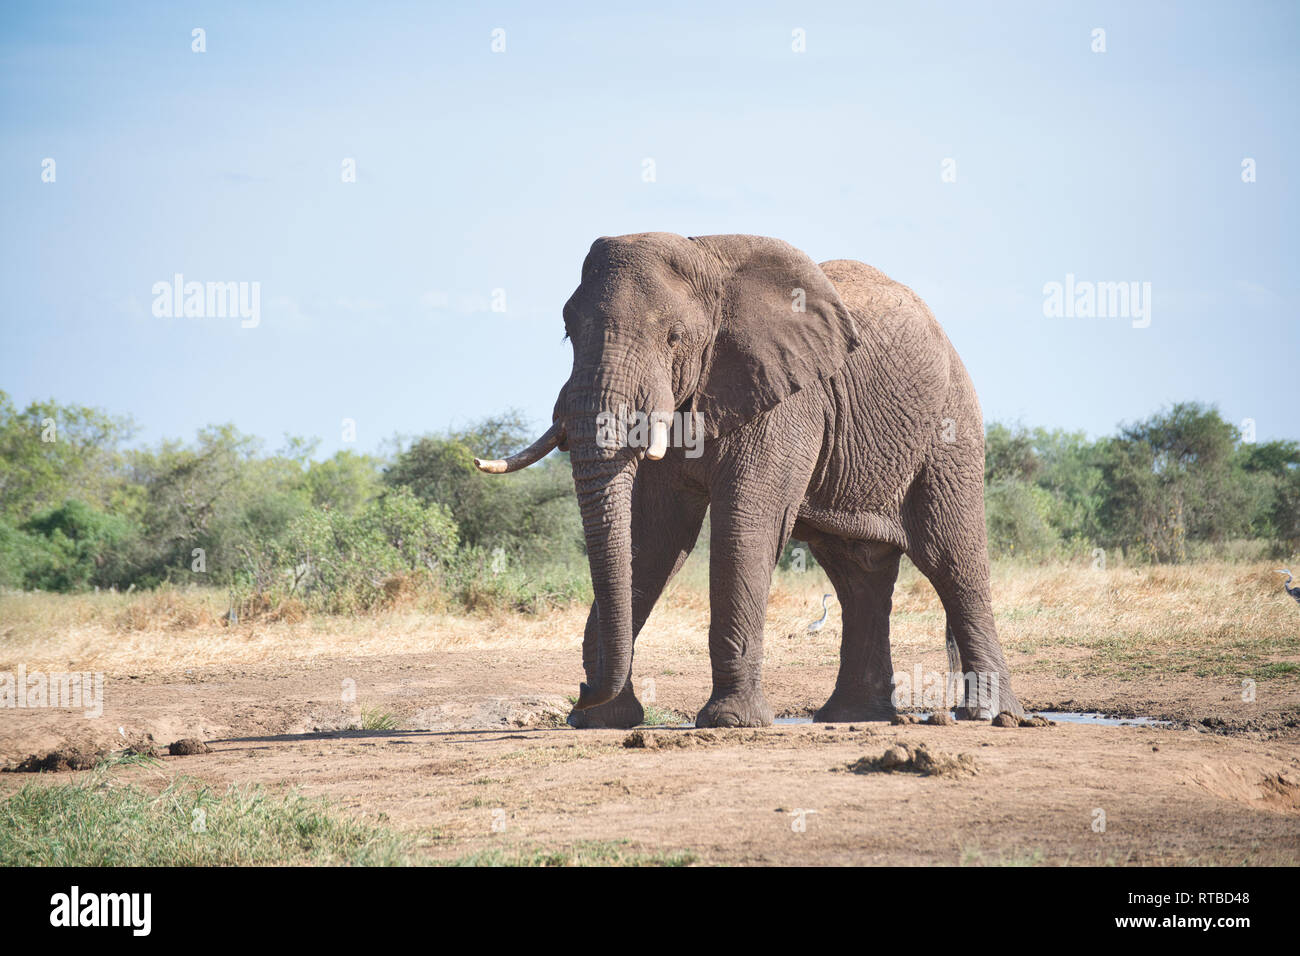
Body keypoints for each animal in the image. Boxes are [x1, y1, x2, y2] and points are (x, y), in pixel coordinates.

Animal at [474, 233, 1023, 729]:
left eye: (674, 337)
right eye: (568, 332)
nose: (583, 691)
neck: (705, 259)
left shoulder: (785, 397)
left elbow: (745, 524)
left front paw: (730, 722)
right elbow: (652, 535)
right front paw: (604, 721)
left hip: (950, 428)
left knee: (951, 558)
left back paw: (990, 715)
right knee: (856, 574)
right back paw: (850, 716)